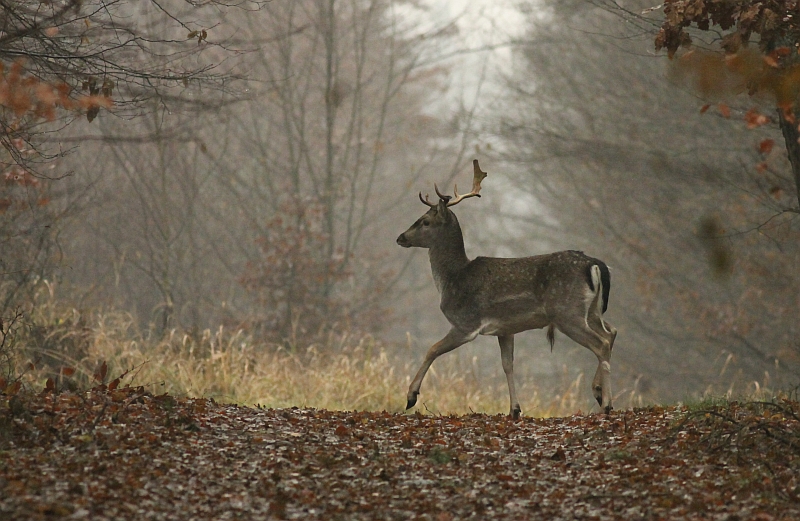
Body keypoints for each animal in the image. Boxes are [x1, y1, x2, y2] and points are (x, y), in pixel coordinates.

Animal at [396, 159, 616, 418]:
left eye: (425, 221)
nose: (401, 237)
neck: (452, 279)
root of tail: (596, 264)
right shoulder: (505, 329)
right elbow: (508, 365)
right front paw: (515, 409)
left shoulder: (466, 323)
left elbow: (432, 349)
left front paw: (411, 396)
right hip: (591, 310)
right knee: (611, 332)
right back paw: (599, 392)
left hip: (567, 312)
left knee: (600, 342)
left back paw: (607, 403)